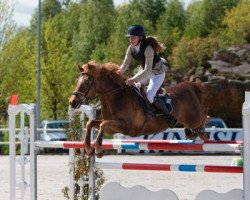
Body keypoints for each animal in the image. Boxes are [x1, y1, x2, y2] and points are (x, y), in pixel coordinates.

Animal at [69, 61, 208, 158]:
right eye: (78, 80)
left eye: (87, 82)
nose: (72, 102)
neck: (117, 96)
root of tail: (189, 85)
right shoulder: (113, 127)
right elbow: (91, 123)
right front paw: (88, 148)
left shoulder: (127, 127)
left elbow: (103, 125)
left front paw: (98, 150)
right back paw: (190, 133)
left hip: (193, 118)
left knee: (204, 117)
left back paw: (202, 133)